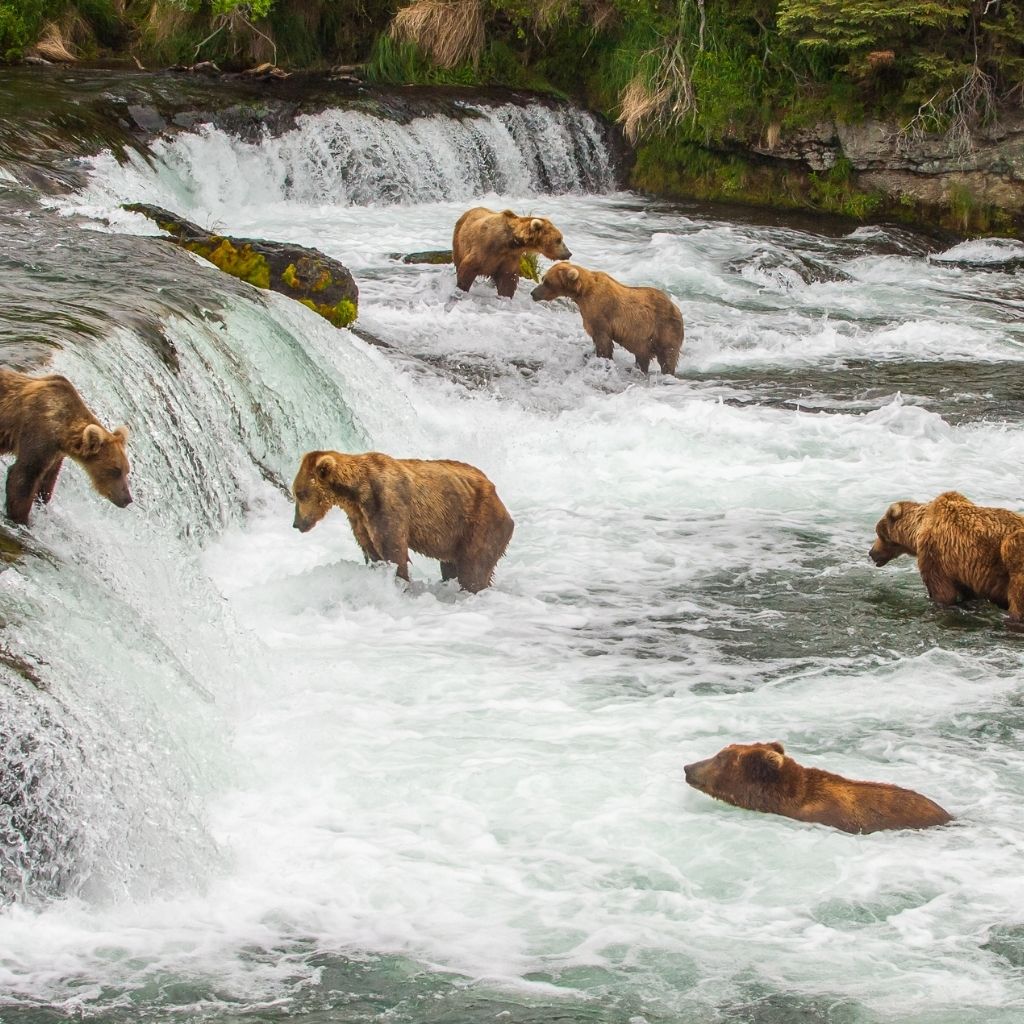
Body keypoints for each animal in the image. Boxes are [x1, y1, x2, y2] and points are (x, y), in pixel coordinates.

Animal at [0, 370, 134, 528]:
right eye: (115, 470)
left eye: (127, 471)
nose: (127, 499)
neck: (62, 433)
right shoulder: (38, 433)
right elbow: (25, 475)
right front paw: (22, 520)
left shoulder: (55, 453)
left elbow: (47, 481)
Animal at [290, 448, 512, 593]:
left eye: (300, 493)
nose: (296, 523)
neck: (356, 492)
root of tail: (496, 494)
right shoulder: (359, 518)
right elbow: (371, 551)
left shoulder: (386, 504)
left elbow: (393, 551)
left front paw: (399, 582)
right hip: (455, 537)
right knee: (451, 566)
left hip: (480, 522)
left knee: (474, 568)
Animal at [532, 262, 684, 374]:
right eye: (543, 278)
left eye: (547, 281)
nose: (533, 293)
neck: (582, 293)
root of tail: (677, 308)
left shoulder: (601, 313)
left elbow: (603, 341)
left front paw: (602, 358)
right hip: (645, 339)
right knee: (643, 356)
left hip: (664, 328)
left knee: (667, 356)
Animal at [868, 489, 1024, 618]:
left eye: (879, 534)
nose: (871, 552)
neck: (918, 529)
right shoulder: (963, 570)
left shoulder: (935, 554)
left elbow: (942, 592)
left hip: (1013, 556)